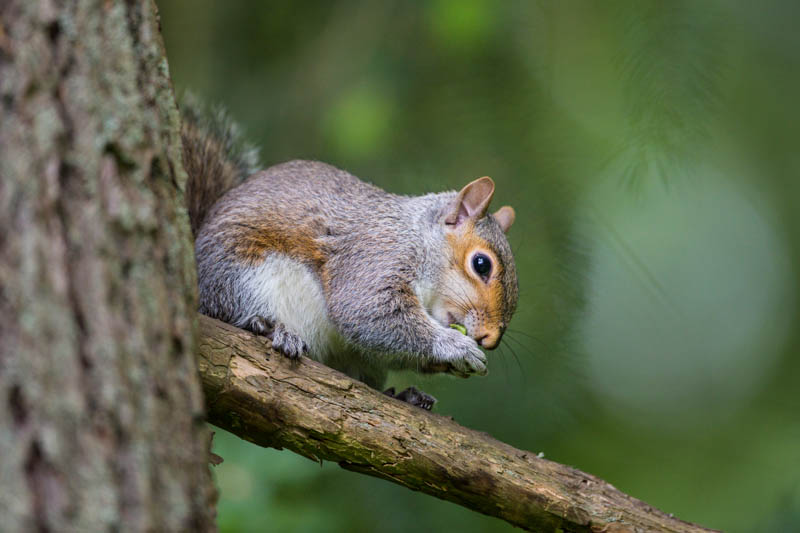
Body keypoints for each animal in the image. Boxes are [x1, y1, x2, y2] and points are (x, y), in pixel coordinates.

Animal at [180, 97, 520, 410]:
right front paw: (455, 346)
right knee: (229, 309)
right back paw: (266, 326)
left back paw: (404, 395)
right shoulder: (373, 257)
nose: (490, 339)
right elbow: (367, 313)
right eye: (481, 264)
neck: (416, 237)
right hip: (242, 275)